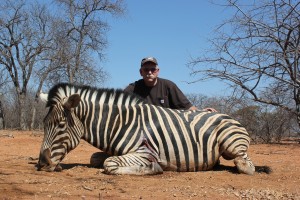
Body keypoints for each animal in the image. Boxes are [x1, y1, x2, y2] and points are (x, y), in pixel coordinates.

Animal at [37, 83, 262, 175]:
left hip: (231, 145)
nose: (41, 164)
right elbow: (96, 158)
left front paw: (155, 168)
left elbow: (109, 164)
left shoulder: (145, 152)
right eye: (44, 124)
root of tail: (229, 116)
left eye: (61, 125)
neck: (120, 123)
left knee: (246, 165)